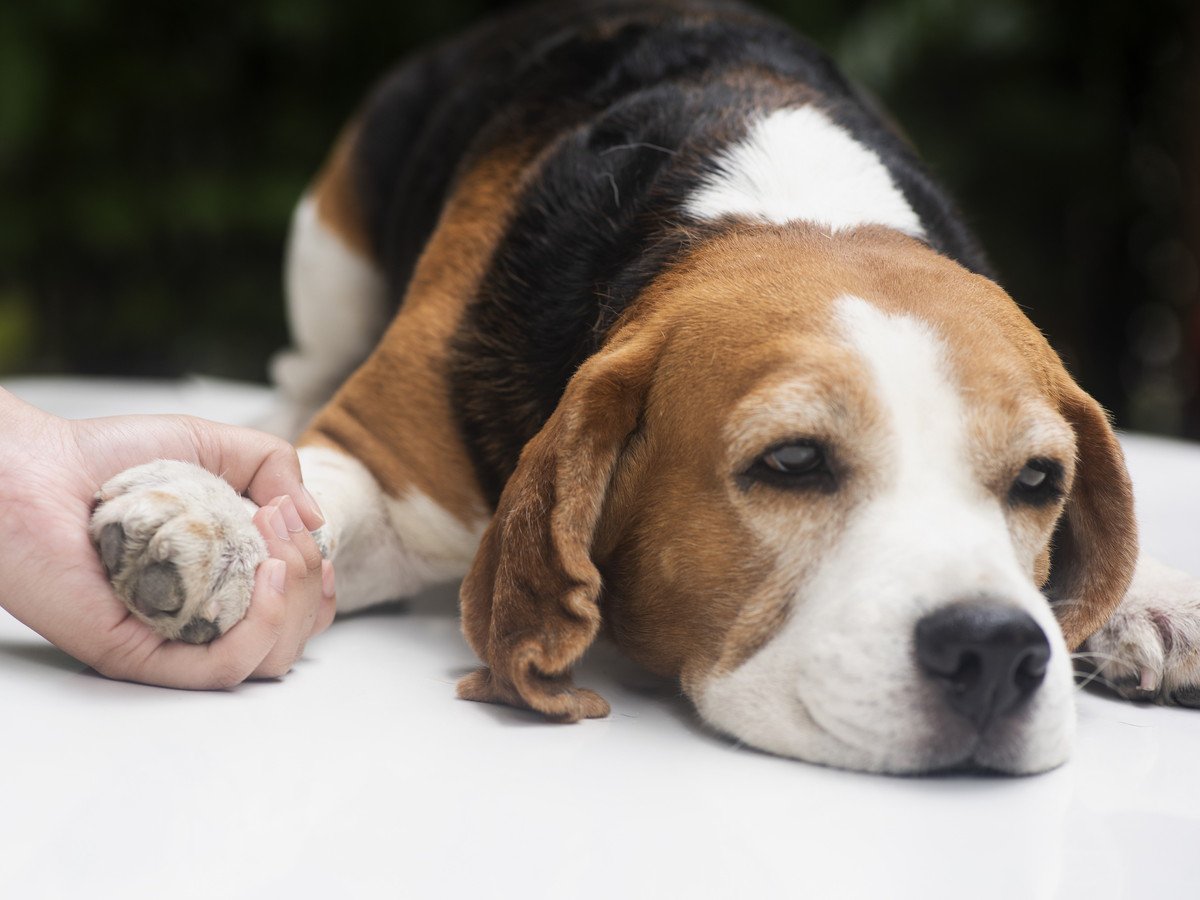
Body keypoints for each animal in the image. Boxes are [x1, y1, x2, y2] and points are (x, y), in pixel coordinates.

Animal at [88, 0, 1200, 777]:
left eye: (1040, 482)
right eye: (792, 462)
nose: (997, 653)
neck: (775, 203)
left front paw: (1146, 598)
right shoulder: (387, 466)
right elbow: (310, 494)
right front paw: (211, 520)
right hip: (330, 244)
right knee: (298, 372)